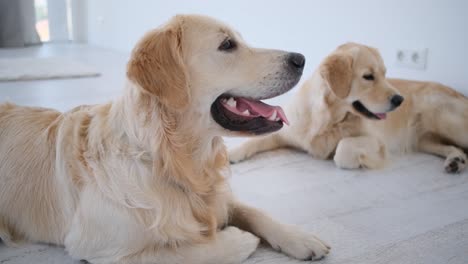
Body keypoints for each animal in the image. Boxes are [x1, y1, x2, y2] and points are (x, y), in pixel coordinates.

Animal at [0, 15, 330, 264]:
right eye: (227, 45)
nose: (300, 59)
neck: (171, 159)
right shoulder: (104, 247)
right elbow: (193, 252)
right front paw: (240, 238)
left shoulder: (217, 195)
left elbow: (253, 210)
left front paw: (301, 238)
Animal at [231, 42, 468, 173]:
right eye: (369, 76)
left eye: (385, 74)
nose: (400, 100)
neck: (327, 119)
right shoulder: (288, 131)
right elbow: (257, 140)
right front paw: (234, 152)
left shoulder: (378, 141)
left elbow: (343, 149)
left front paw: (359, 161)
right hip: (425, 139)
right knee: (453, 148)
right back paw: (456, 161)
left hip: (448, 124)